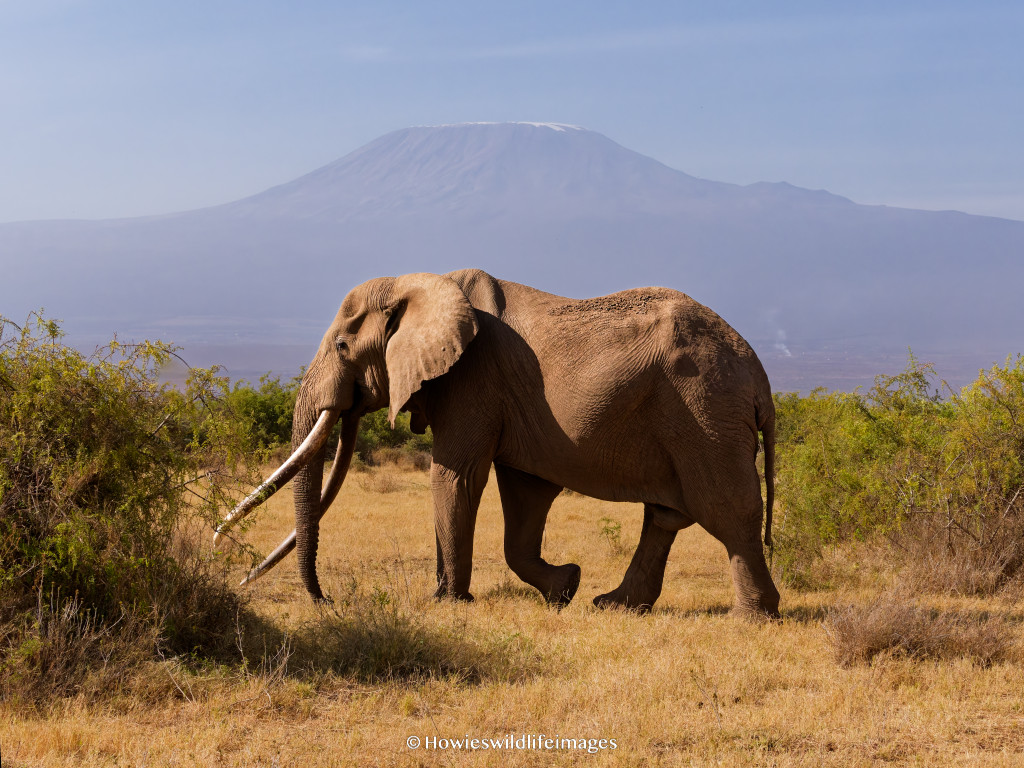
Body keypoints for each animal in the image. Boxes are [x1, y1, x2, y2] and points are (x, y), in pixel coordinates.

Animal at [215, 269, 780, 618]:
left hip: (705, 410)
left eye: (340, 345)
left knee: (727, 510)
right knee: (664, 517)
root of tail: (758, 374)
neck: (418, 282)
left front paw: (448, 602)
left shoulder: (473, 380)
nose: (326, 602)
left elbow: (456, 476)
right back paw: (613, 604)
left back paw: (754, 617)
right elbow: (524, 499)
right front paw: (565, 587)